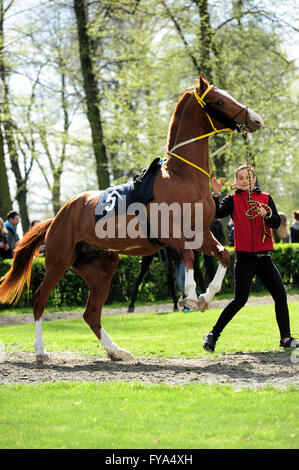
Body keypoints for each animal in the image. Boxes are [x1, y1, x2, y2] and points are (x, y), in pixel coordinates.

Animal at [0, 73, 262, 360]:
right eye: (219, 100)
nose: (256, 119)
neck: (181, 177)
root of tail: (58, 216)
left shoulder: (201, 233)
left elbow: (224, 254)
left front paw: (205, 296)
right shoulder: (170, 234)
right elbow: (190, 257)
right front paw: (192, 296)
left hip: (102, 266)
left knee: (91, 313)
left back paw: (117, 351)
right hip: (59, 260)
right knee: (40, 299)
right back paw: (41, 350)